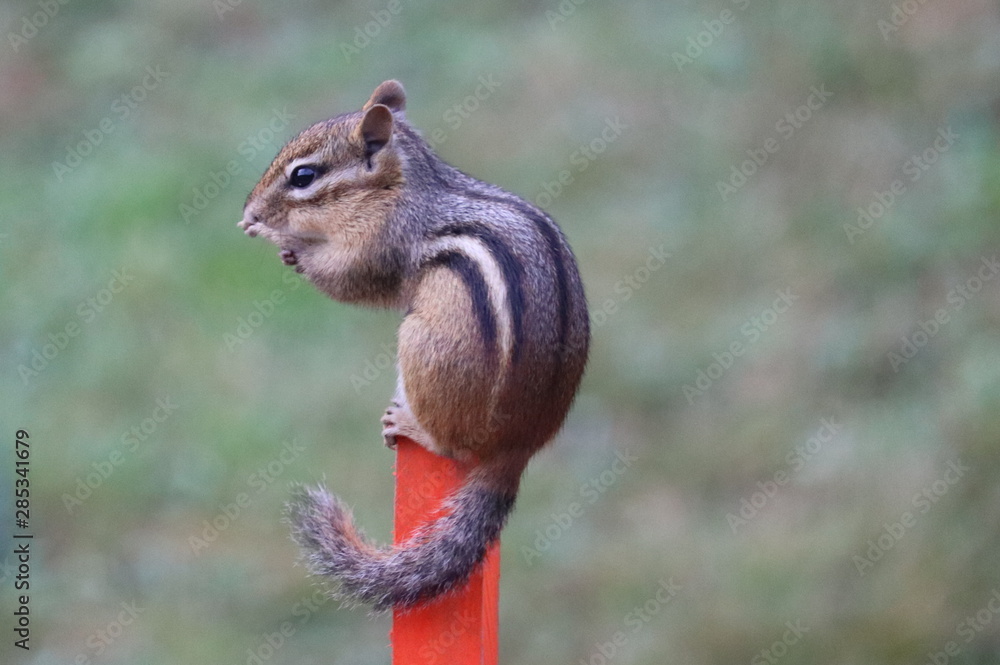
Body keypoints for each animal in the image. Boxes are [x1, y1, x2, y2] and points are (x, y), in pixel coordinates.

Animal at [238, 80, 589, 611]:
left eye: (303, 176)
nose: (248, 216)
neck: (400, 189)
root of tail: (518, 449)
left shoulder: (382, 246)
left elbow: (347, 281)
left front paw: (287, 244)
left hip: (424, 349)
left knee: (452, 445)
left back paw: (411, 425)